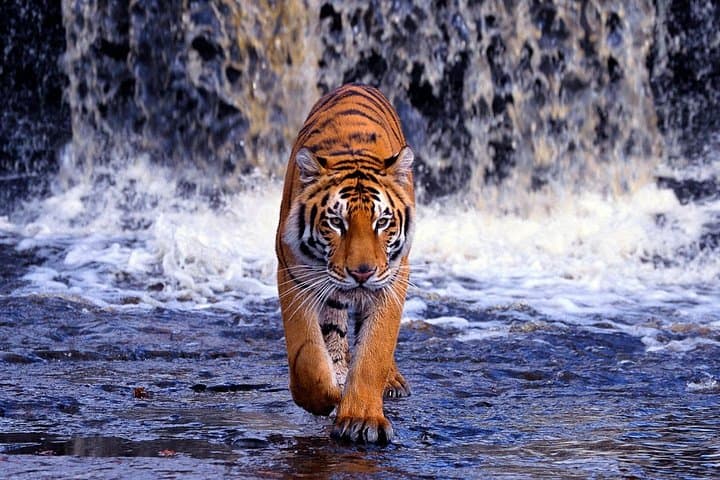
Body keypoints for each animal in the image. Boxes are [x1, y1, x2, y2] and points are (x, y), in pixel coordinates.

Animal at [275, 84, 415, 444]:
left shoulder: (392, 280)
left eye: (382, 222)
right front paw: (325, 396)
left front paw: (361, 418)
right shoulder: (294, 275)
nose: (361, 273)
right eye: (336, 222)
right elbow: (307, 354)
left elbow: (374, 351)